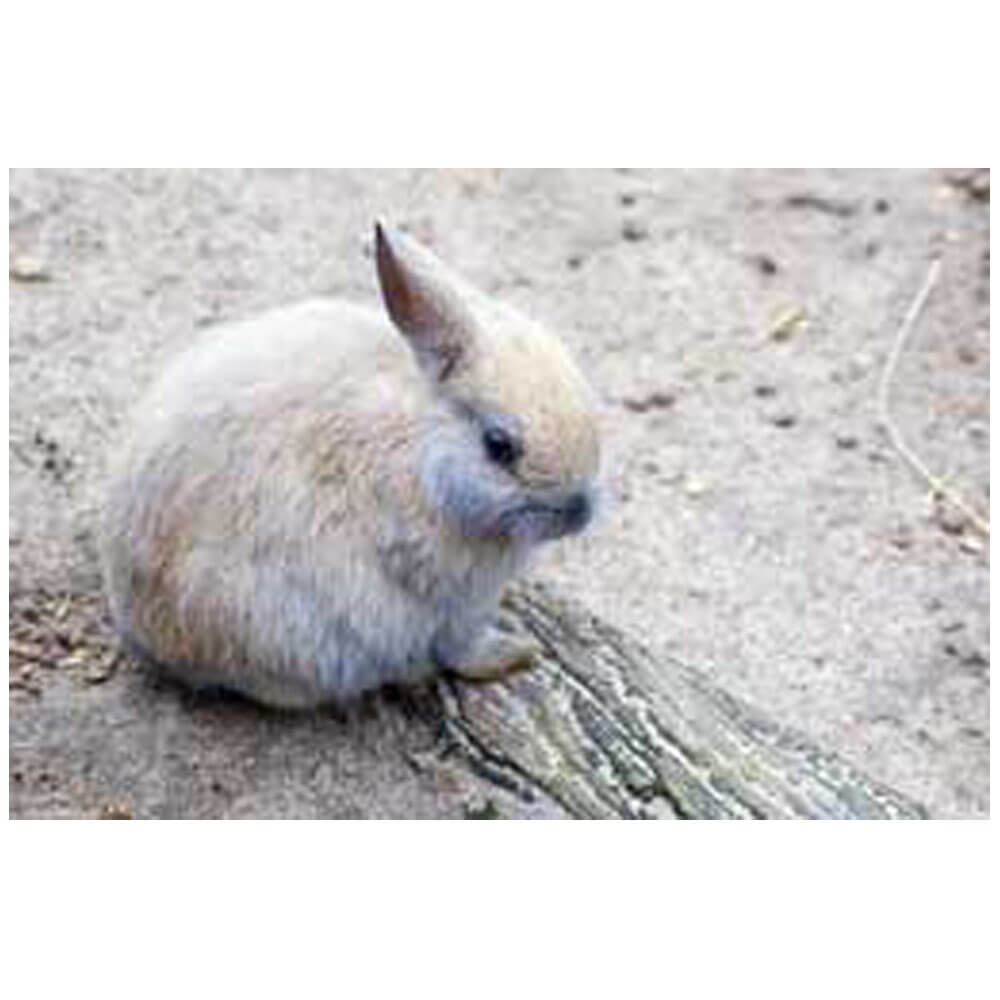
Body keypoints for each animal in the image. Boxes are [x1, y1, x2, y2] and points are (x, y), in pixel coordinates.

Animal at [101, 222, 601, 708]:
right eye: (498, 446)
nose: (579, 512)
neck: (422, 444)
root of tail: (148, 634)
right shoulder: (450, 600)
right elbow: (459, 649)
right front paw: (516, 654)